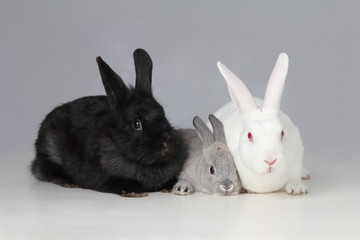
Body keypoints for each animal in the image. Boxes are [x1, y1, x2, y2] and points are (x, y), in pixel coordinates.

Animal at [30, 48, 188, 197]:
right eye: (136, 124)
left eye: (163, 114)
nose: (165, 139)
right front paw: (133, 191)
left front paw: (171, 185)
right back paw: (67, 182)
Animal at [212, 53, 308, 195]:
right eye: (249, 135)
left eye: (282, 133)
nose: (270, 160)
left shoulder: (297, 151)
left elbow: (294, 176)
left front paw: (296, 188)